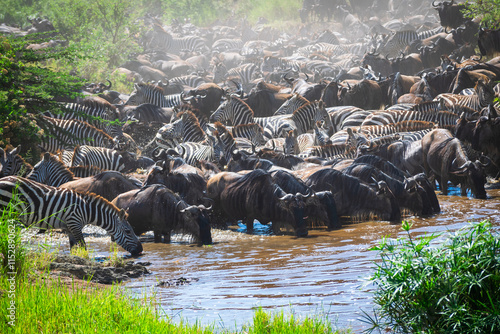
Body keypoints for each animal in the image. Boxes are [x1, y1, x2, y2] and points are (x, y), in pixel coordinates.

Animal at [0, 175, 142, 253]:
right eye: (128, 231)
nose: (141, 250)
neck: (87, 210)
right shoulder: (74, 223)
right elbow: (83, 247)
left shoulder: (69, 227)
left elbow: (73, 249)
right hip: (4, 211)